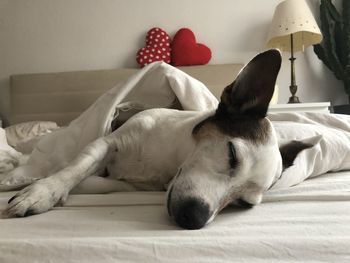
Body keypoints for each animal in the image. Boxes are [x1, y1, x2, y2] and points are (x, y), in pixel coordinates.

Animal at [3, 49, 312, 229]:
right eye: (232, 154)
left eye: (244, 204)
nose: (194, 218)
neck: (170, 159)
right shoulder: (105, 143)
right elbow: (74, 168)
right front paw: (43, 191)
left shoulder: (128, 185)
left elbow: (97, 182)